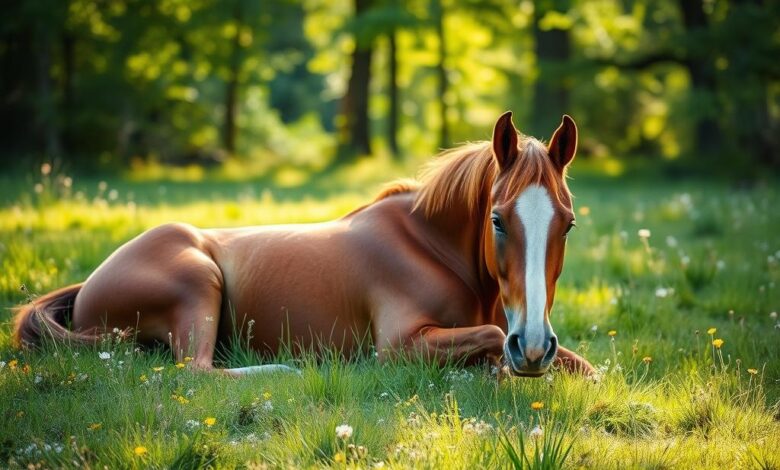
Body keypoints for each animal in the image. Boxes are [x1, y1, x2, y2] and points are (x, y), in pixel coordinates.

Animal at [15, 111, 596, 378]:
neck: (429, 247)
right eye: (497, 220)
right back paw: (289, 369)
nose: (532, 347)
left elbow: (583, 366)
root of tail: (88, 285)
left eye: (567, 224)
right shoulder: (400, 346)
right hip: (196, 283)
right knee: (199, 370)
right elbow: (488, 339)